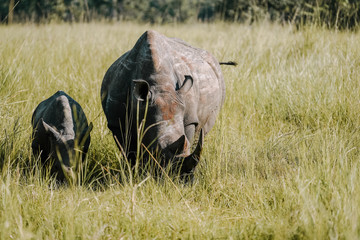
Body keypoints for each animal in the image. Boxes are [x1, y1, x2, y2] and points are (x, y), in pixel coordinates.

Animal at [100, 30, 233, 176]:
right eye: (156, 151)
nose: (182, 178)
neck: (160, 85)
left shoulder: (189, 118)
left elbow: (188, 138)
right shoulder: (116, 122)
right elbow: (128, 150)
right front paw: (134, 172)